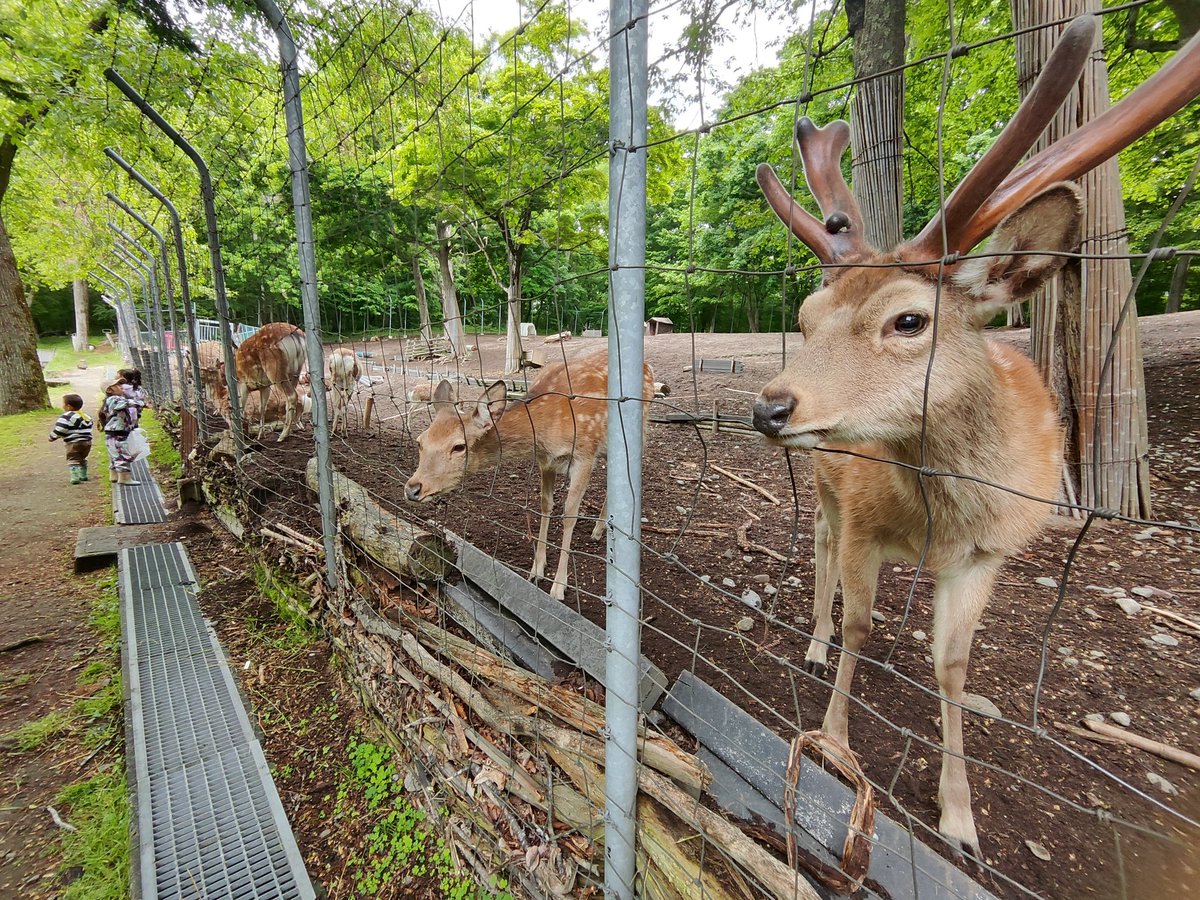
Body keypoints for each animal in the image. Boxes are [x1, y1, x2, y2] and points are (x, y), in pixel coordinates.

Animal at [404, 350, 654, 601]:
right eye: (420, 441)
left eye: (459, 446)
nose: (413, 489)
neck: (544, 431)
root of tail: (648, 366)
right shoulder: (546, 462)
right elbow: (545, 505)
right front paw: (536, 570)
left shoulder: (584, 454)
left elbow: (569, 514)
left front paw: (559, 586)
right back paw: (599, 529)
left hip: (636, 432)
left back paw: (600, 530)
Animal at [749, 16, 1200, 858]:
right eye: (805, 317)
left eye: (909, 319)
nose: (771, 408)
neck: (947, 515)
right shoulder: (861, 520)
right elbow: (858, 622)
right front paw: (835, 740)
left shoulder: (991, 553)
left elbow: (954, 665)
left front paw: (960, 818)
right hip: (826, 489)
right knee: (820, 547)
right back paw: (815, 642)